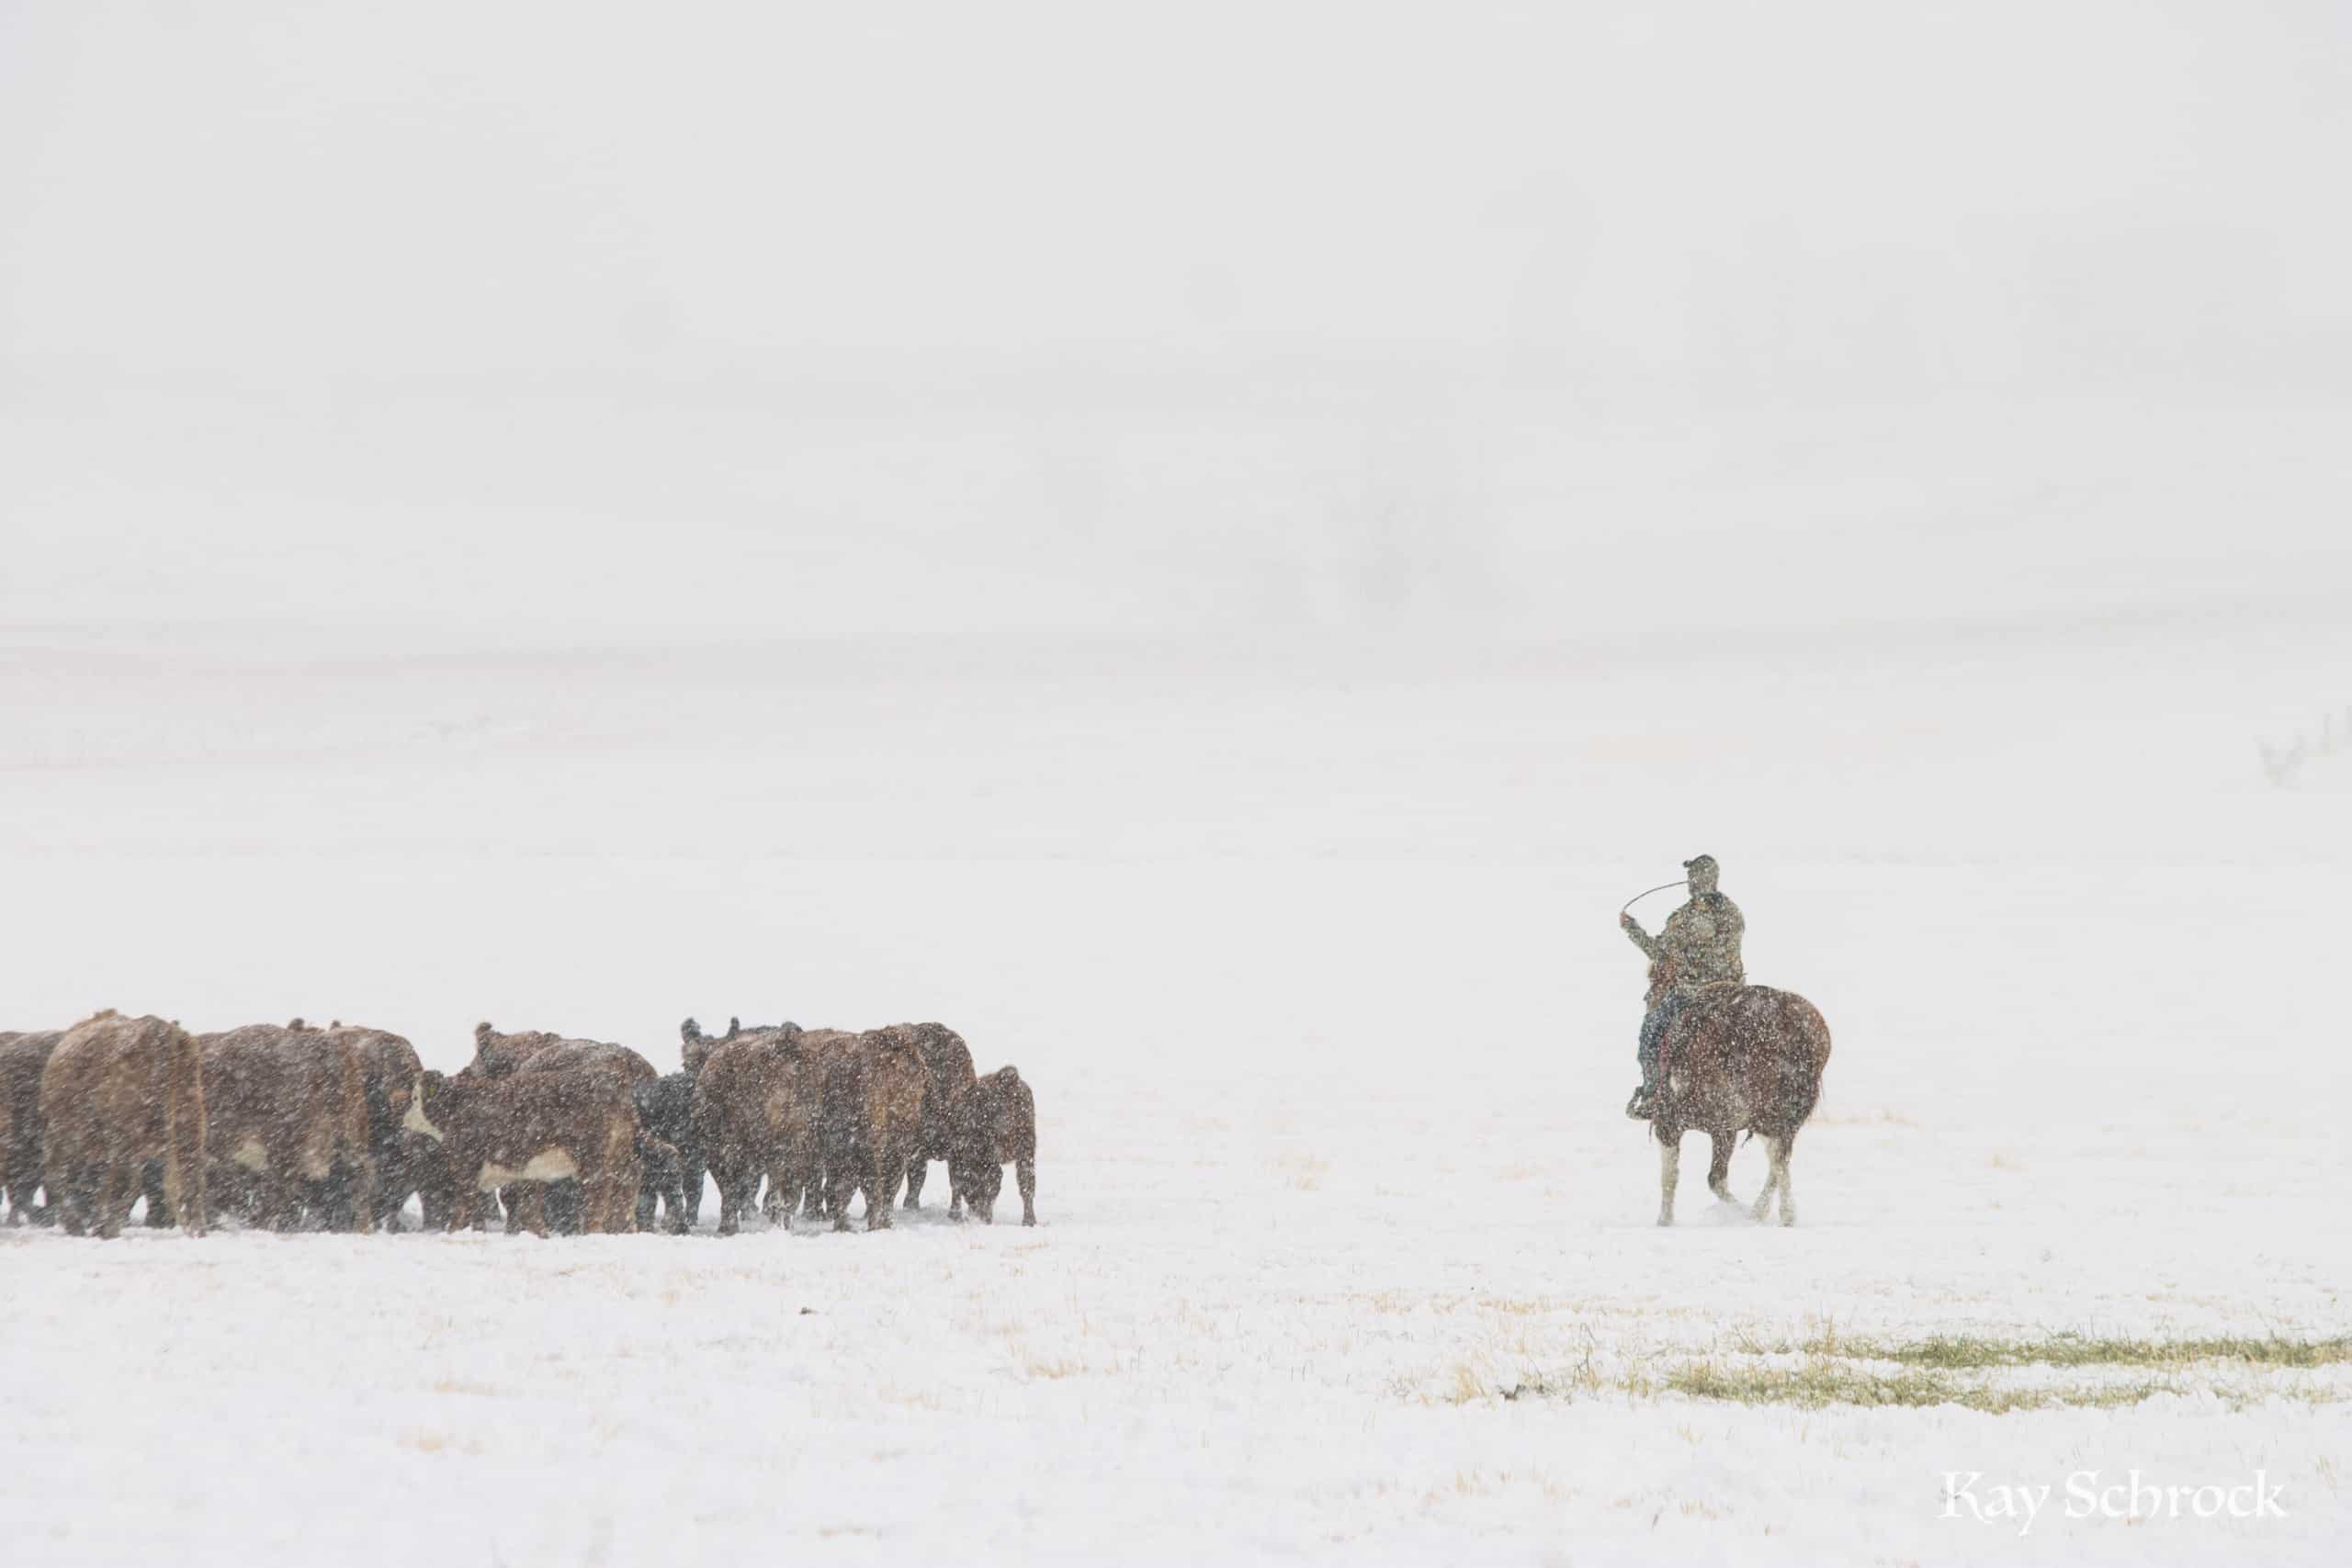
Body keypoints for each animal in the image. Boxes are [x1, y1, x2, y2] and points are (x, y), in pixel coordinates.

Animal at [39, 1011, 207, 1239]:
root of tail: (164, 1034)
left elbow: (58, 1176)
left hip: (124, 1135)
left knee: (123, 1180)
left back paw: (105, 1228)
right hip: (189, 1125)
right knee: (191, 1177)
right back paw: (198, 1231)